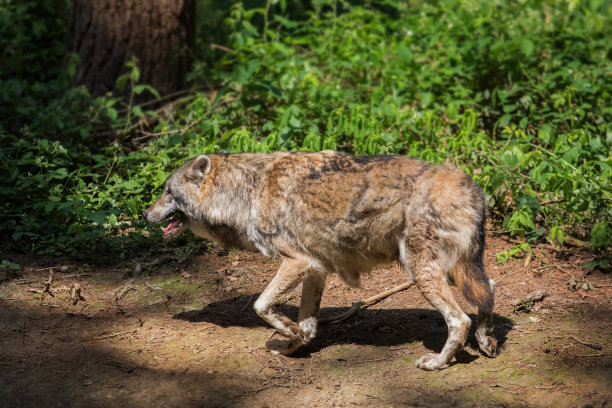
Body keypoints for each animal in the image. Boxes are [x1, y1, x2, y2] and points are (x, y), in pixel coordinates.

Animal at [143, 151, 498, 370]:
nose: (145, 215)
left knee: (460, 320)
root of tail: (471, 185)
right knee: (489, 291)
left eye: (167, 193)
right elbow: (307, 324)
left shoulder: (297, 263)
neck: (246, 192)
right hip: (454, 270)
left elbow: (260, 306)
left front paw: (288, 333)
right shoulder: (316, 268)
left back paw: (438, 362)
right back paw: (487, 341)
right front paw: (293, 342)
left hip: (422, 271)